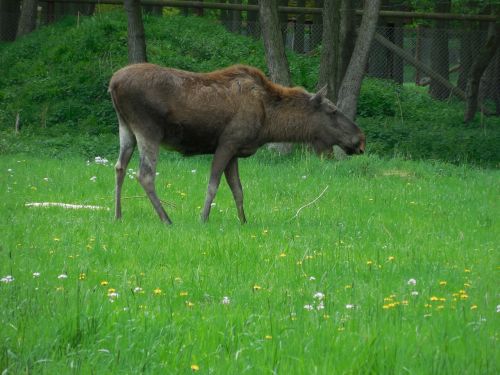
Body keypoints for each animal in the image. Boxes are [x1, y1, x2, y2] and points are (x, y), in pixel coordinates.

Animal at [108, 63, 364, 225]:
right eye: (333, 110)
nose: (360, 139)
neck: (269, 122)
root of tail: (113, 83)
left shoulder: (235, 152)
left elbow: (238, 190)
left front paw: (243, 221)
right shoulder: (227, 143)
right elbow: (213, 186)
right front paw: (203, 219)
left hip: (126, 128)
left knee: (119, 167)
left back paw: (118, 215)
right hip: (148, 130)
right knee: (145, 175)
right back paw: (166, 219)